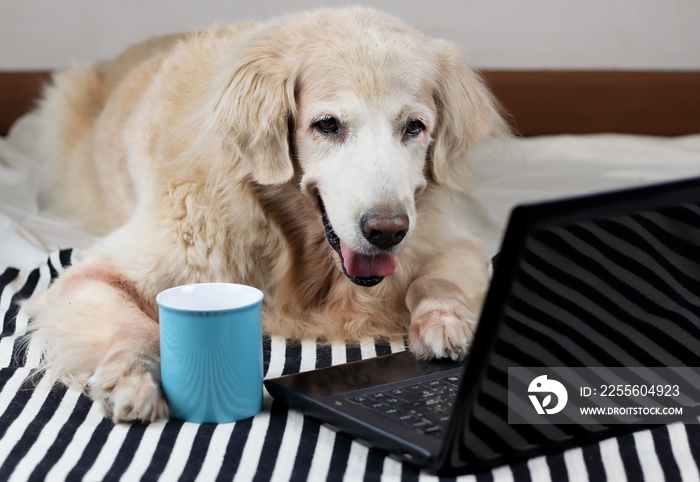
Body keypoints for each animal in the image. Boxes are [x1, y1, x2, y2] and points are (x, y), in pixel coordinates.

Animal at [26, 6, 504, 422]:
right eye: (327, 125)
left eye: (414, 127)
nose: (387, 231)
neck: (281, 231)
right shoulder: (92, 275)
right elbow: (132, 324)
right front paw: (134, 377)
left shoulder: (452, 241)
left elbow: (435, 279)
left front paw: (445, 320)